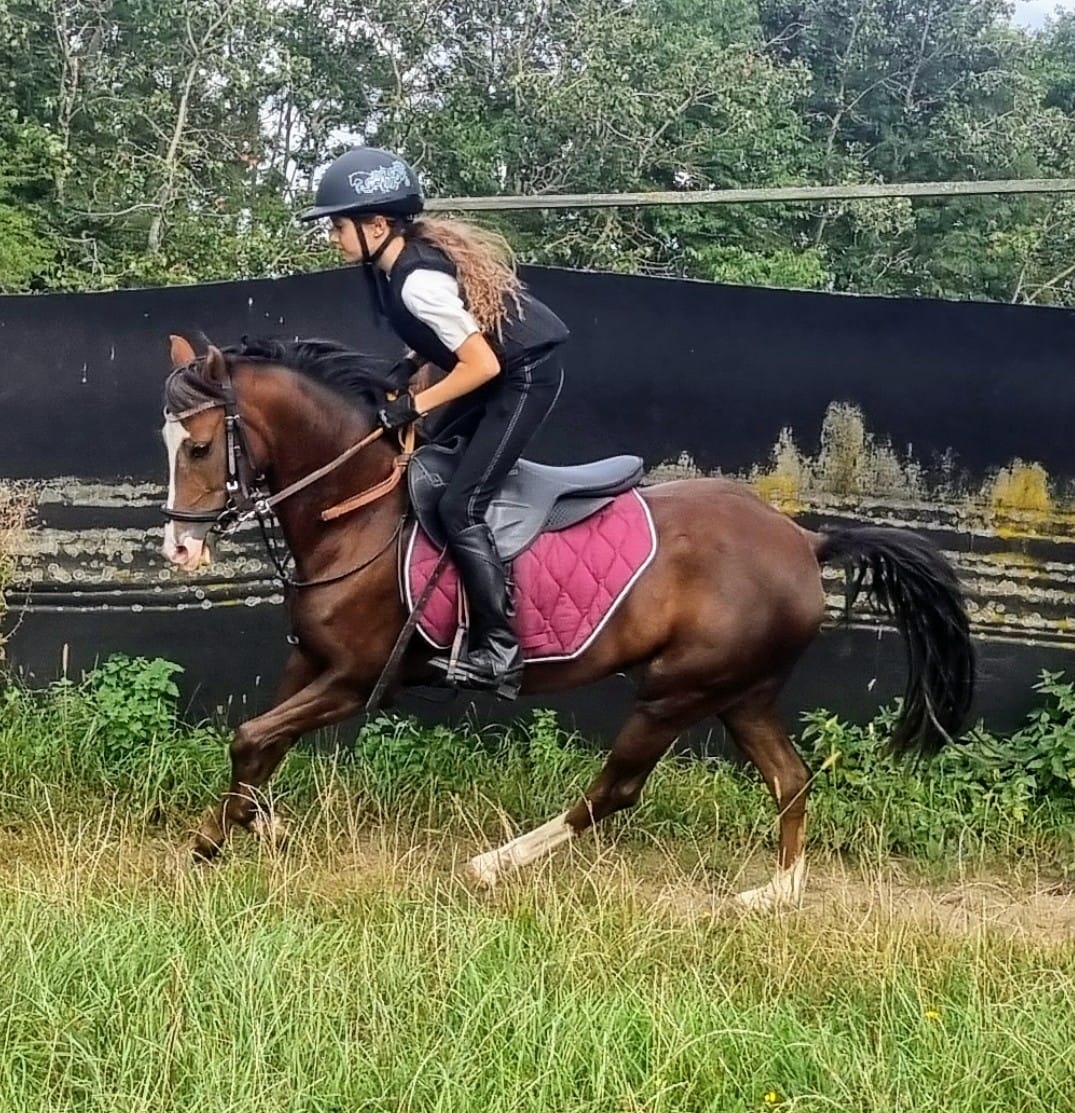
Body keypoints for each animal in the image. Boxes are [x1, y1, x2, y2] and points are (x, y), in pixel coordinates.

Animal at [160, 333, 975, 909]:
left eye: (198, 446)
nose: (179, 548)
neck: (358, 513)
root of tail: (803, 540)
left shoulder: (360, 680)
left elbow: (250, 737)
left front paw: (208, 846)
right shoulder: (310, 661)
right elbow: (262, 747)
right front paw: (258, 825)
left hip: (676, 691)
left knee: (615, 790)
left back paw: (491, 864)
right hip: (742, 693)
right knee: (792, 779)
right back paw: (776, 892)